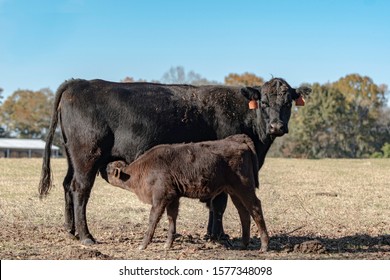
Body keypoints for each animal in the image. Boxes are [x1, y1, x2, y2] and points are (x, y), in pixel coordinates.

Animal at [107, 133, 272, 252]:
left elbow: (153, 220)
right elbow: (171, 219)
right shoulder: (173, 198)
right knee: (243, 212)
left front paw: (142, 245)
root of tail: (238, 140)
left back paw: (264, 246)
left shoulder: (160, 198)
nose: (104, 170)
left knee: (255, 208)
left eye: (109, 170)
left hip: (244, 188)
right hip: (234, 192)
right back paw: (243, 244)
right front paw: (167, 245)